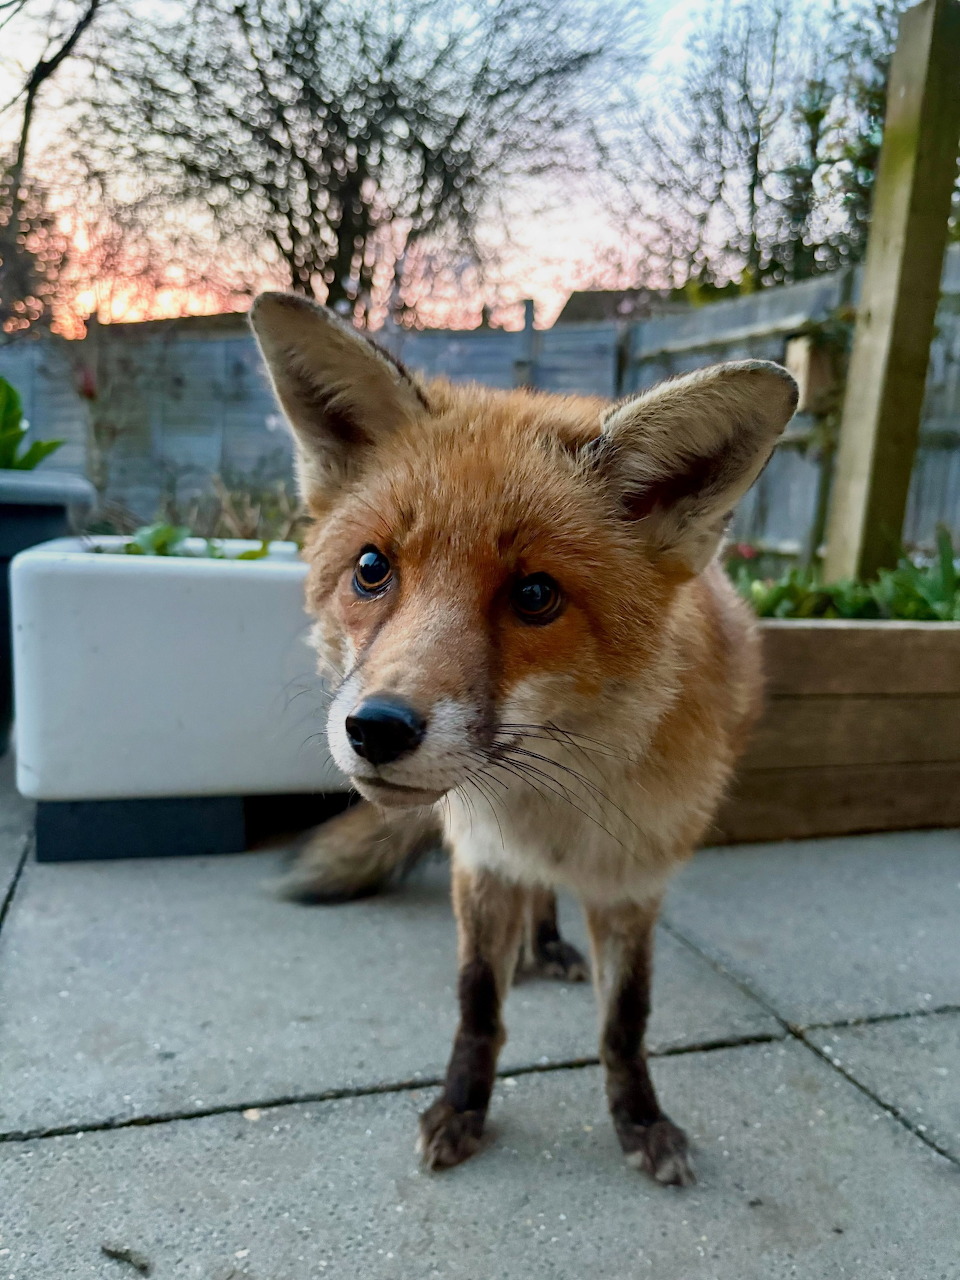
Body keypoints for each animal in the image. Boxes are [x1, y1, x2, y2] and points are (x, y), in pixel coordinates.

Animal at [250, 291, 798, 1186]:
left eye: (536, 595)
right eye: (371, 569)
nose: (375, 729)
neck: (549, 802)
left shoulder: (635, 883)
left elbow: (625, 1022)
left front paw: (639, 1120)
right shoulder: (481, 859)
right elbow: (478, 1003)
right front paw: (463, 1107)